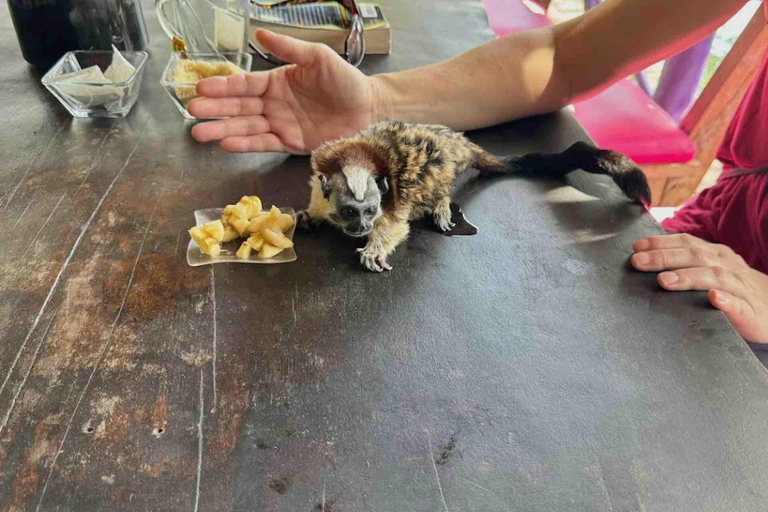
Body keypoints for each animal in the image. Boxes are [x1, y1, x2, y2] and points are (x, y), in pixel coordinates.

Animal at [296, 121, 652, 272]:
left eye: (369, 211)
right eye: (349, 212)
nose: (362, 228)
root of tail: (459, 142)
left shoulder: (392, 201)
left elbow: (396, 226)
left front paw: (374, 248)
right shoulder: (321, 177)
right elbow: (316, 203)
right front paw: (307, 216)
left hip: (443, 162)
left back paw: (440, 203)